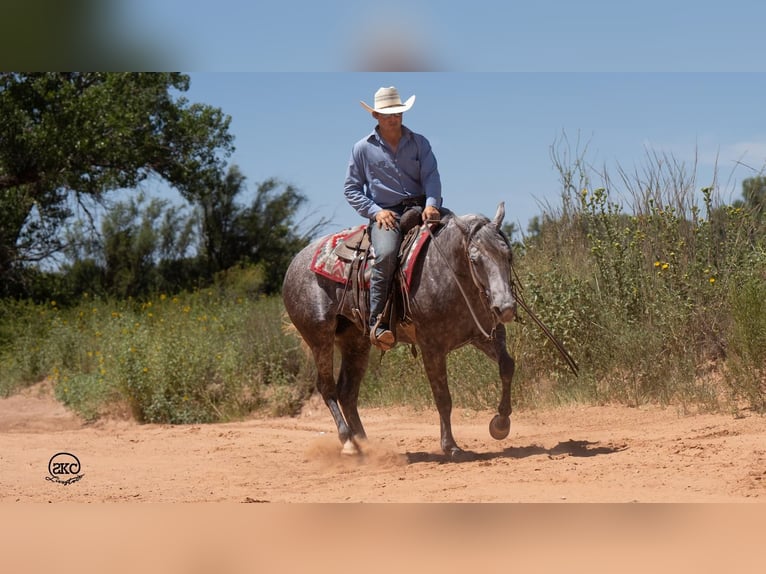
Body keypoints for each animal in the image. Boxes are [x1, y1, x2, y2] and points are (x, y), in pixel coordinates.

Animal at [284, 202, 520, 460]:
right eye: (475, 259)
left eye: (508, 255)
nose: (505, 308)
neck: (447, 272)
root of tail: (294, 264)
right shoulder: (432, 347)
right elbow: (443, 398)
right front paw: (451, 446)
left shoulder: (485, 335)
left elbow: (507, 366)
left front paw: (501, 424)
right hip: (320, 338)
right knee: (327, 388)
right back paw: (348, 443)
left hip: (355, 343)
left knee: (347, 392)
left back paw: (366, 445)